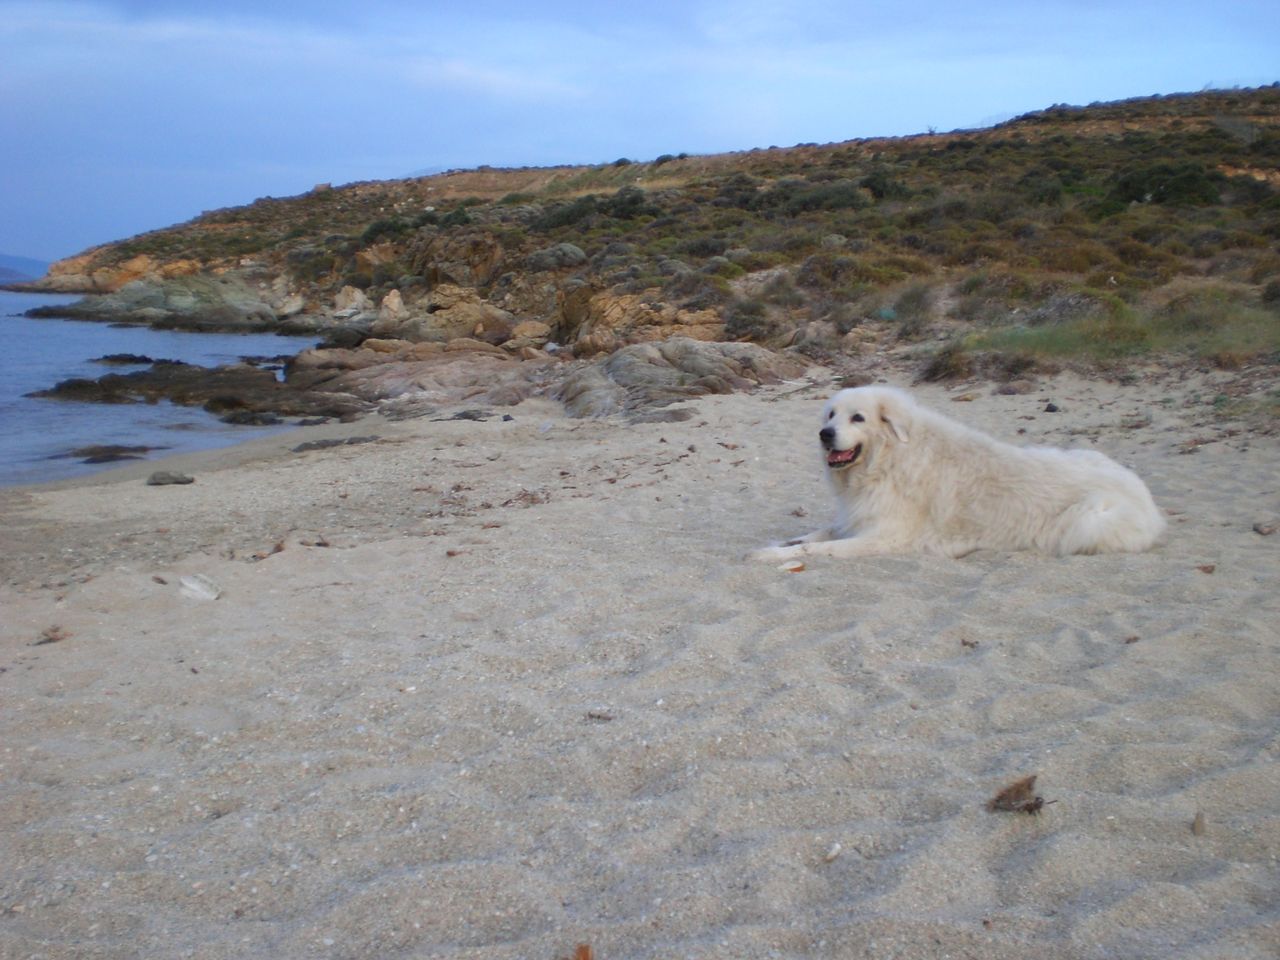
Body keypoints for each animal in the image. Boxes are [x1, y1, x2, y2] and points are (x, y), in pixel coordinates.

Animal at [752, 386, 1167, 563]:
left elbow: (820, 547)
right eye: (831, 414)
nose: (824, 434)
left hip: (1092, 518)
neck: (888, 459)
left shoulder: (885, 536)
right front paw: (780, 543)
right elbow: (818, 533)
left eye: (858, 417)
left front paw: (770, 555)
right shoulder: (858, 517)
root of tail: (1146, 495)